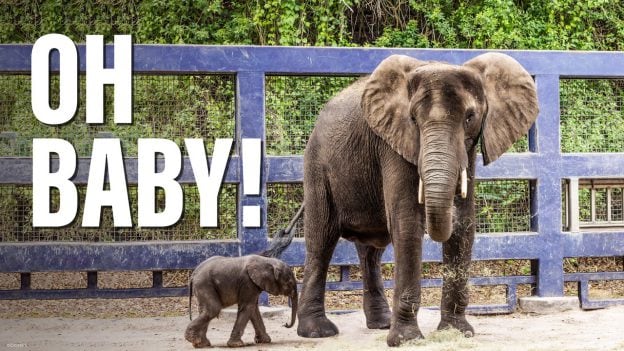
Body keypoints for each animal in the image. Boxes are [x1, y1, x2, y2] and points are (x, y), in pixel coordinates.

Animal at [294, 53, 540, 348]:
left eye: (470, 117)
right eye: (412, 118)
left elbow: (464, 224)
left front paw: (456, 332)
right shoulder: (392, 143)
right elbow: (407, 223)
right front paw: (405, 340)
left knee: (371, 250)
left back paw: (381, 324)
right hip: (317, 165)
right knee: (321, 241)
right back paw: (317, 332)